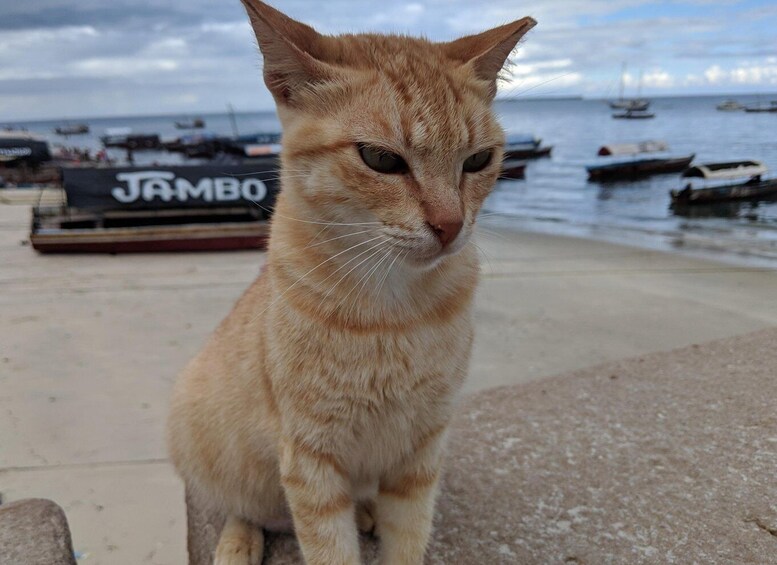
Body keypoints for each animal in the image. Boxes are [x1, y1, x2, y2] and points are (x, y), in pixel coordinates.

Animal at [168, 2, 532, 560]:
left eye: (478, 160)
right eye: (381, 159)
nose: (450, 226)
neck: (394, 311)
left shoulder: (421, 449)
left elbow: (408, 537)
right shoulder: (310, 460)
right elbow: (329, 547)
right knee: (245, 508)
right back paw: (239, 540)